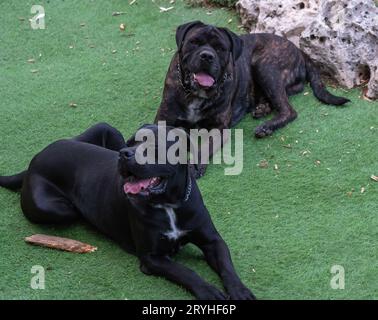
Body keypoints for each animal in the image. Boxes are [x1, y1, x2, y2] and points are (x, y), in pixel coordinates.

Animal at [0, 122, 254, 300]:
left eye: (154, 147)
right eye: (132, 143)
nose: (124, 153)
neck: (169, 203)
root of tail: (35, 158)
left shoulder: (212, 241)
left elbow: (227, 267)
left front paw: (240, 290)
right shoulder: (151, 257)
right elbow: (186, 272)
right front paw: (208, 291)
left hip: (107, 128)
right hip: (56, 208)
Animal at [155, 20, 350, 178]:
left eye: (220, 48)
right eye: (194, 42)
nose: (207, 56)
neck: (196, 94)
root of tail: (299, 50)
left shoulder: (219, 128)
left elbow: (205, 147)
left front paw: (195, 166)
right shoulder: (163, 119)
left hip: (265, 66)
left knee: (289, 110)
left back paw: (266, 126)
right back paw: (262, 109)